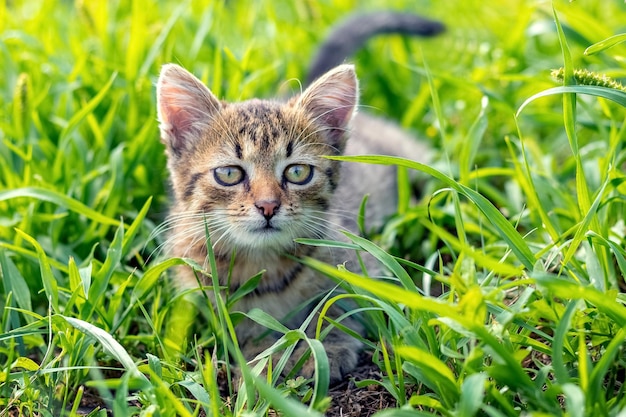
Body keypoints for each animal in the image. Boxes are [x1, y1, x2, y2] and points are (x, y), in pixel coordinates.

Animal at [156, 13, 438, 384]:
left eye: (297, 172)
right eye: (229, 174)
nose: (268, 206)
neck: (263, 264)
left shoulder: (360, 260)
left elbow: (342, 303)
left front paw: (326, 345)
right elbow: (243, 330)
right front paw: (263, 356)